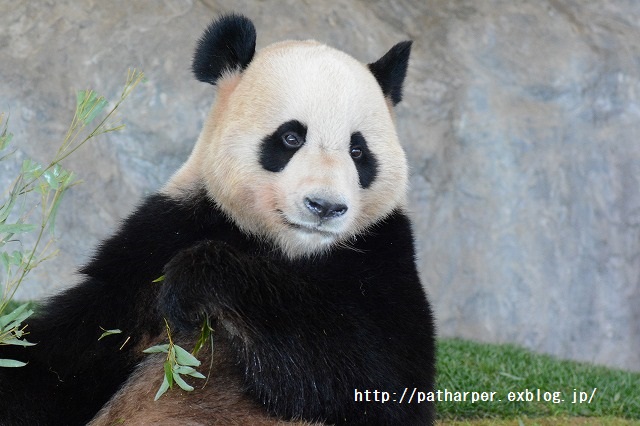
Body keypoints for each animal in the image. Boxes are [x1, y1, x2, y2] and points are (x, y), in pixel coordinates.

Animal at [0, 13, 436, 426]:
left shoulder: (381, 252)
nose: (325, 206)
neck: (288, 250)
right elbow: (71, 351)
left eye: (358, 152)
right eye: (291, 138)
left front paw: (198, 278)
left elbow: (381, 373)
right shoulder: (164, 233)